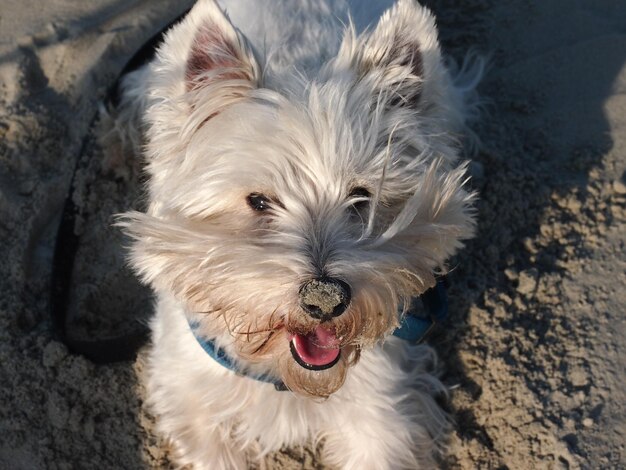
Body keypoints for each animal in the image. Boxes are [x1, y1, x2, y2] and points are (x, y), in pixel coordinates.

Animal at [116, 0, 478, 466]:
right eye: (258, 202)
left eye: (361, 199)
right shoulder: (191, 400)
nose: (325, 298)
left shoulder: (384, 410)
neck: (284, 375)